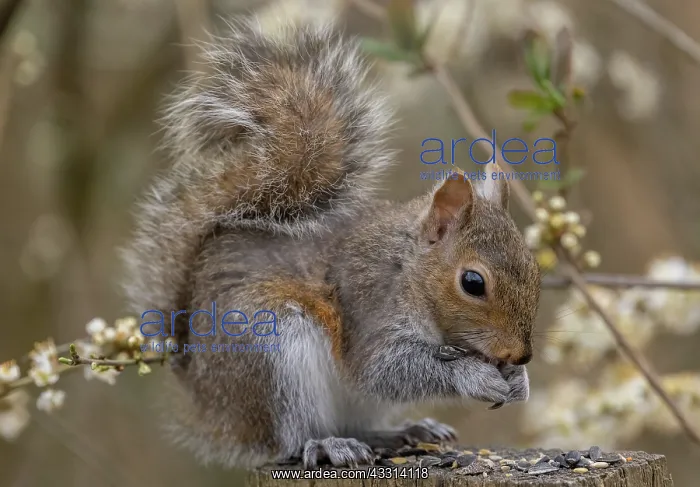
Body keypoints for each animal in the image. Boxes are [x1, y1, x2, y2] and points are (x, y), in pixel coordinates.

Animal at [120, 20, 541, 470]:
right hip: (270, 351)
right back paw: (325, 444)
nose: (521, 356)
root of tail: (206, 400)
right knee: (288, 439)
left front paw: (519, 382)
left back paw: (402, 431)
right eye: (473, 283)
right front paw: (475, 376)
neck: (408, 272)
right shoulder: (368, 309)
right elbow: (382, 371)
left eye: (534, 269)